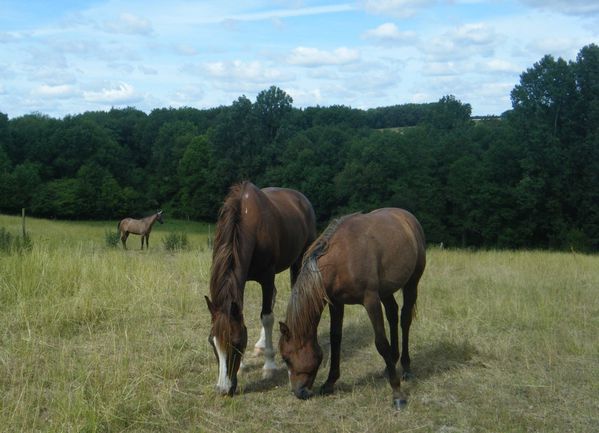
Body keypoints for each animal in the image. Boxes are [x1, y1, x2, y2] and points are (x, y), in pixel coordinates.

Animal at [205, 181, 318, 396]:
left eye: (236, 342)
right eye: (211, 341)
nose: (224, 389)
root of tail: (302, 199)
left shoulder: (267, 276)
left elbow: (267, 317)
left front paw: (269, 366)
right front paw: (242, 367)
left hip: (299, 259)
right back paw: (260, 345)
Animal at [282, 208, 426, 410]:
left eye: (286, 358)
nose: (299, 392)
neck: (342, 257)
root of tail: (407, 217)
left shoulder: (371, 300)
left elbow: (381, 342)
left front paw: (397, 394)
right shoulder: (336, 303)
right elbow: (335, 339)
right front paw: (329, 383)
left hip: (412, 282)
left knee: (405, 320)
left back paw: (406, 368)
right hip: (385, 291)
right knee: (392, 314)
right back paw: (390, 364)